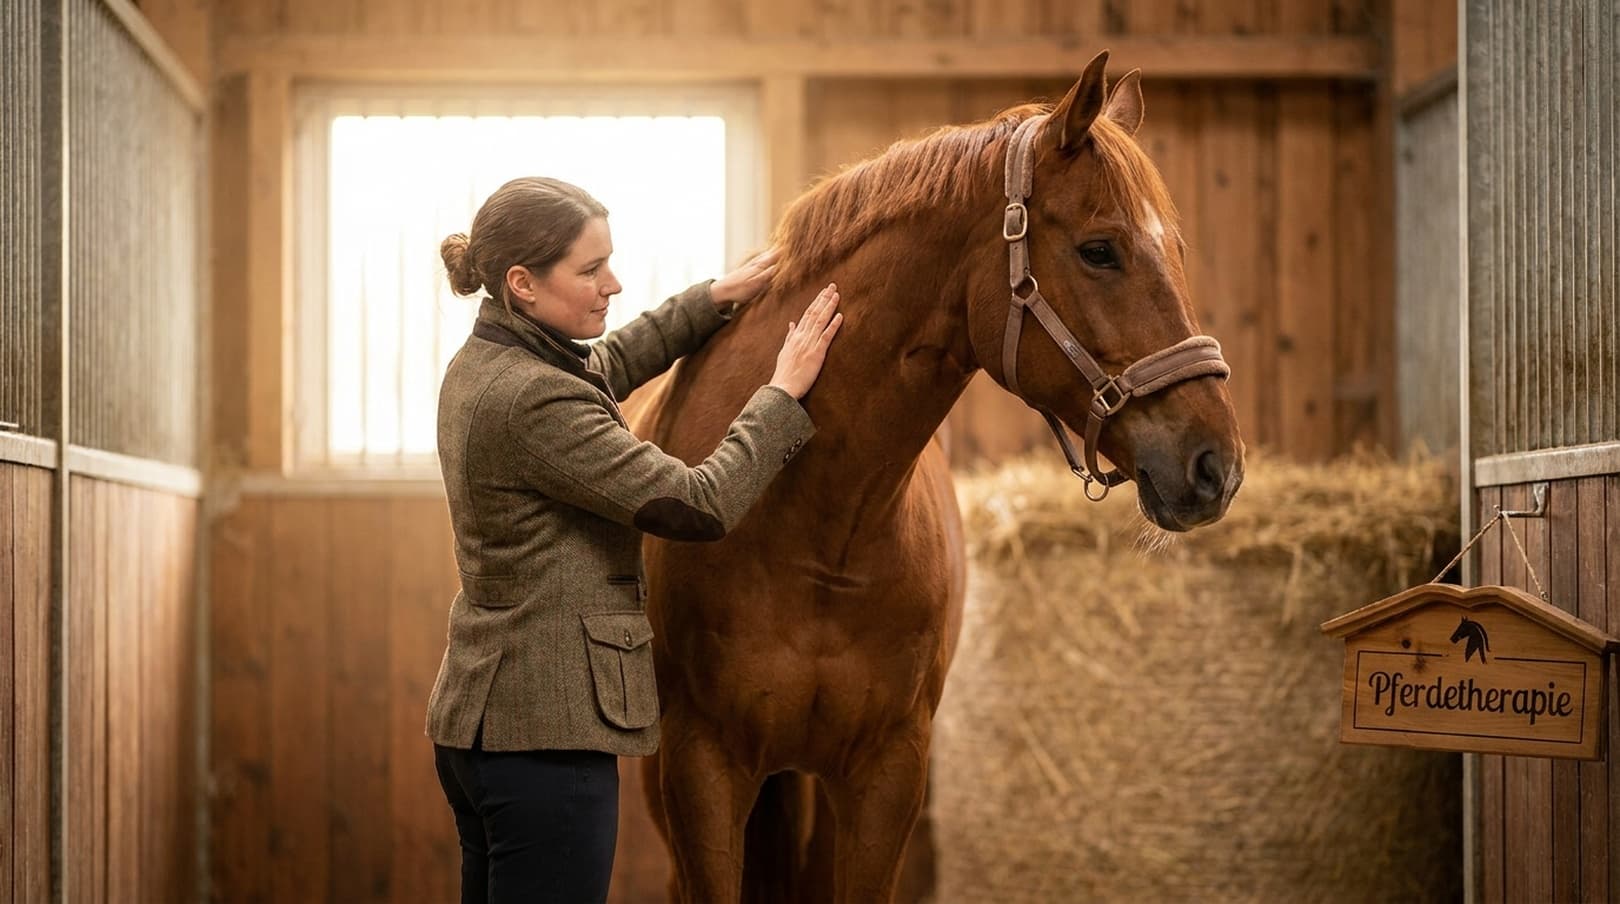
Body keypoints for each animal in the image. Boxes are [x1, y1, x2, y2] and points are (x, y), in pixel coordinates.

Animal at [623, 51, 1245, 903]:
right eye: (1099, 250)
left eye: (1178, 249)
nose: (1216, 464)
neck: (822, 531)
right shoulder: (701, 771)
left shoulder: (888, 774)